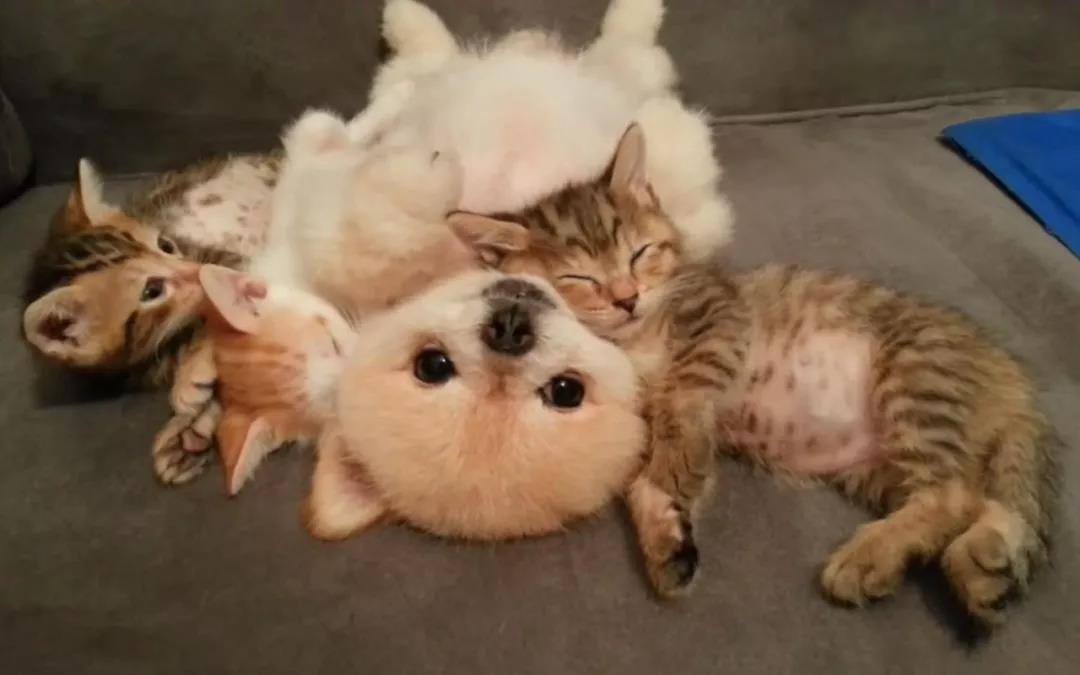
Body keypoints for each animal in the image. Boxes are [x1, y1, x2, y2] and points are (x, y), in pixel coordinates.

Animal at [449, 124, 1058, 625]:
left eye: (640, 254)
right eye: (580, 279)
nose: (626, 298)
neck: (635, 341)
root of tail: (1012, 381)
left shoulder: (720, 316)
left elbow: (683, 396)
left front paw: (676, 467)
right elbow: (640, 481)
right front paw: (666, 535)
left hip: (916, 376)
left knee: (951, 494)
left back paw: (870, 558)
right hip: (881, 465)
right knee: (982, 500)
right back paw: (983, 567)